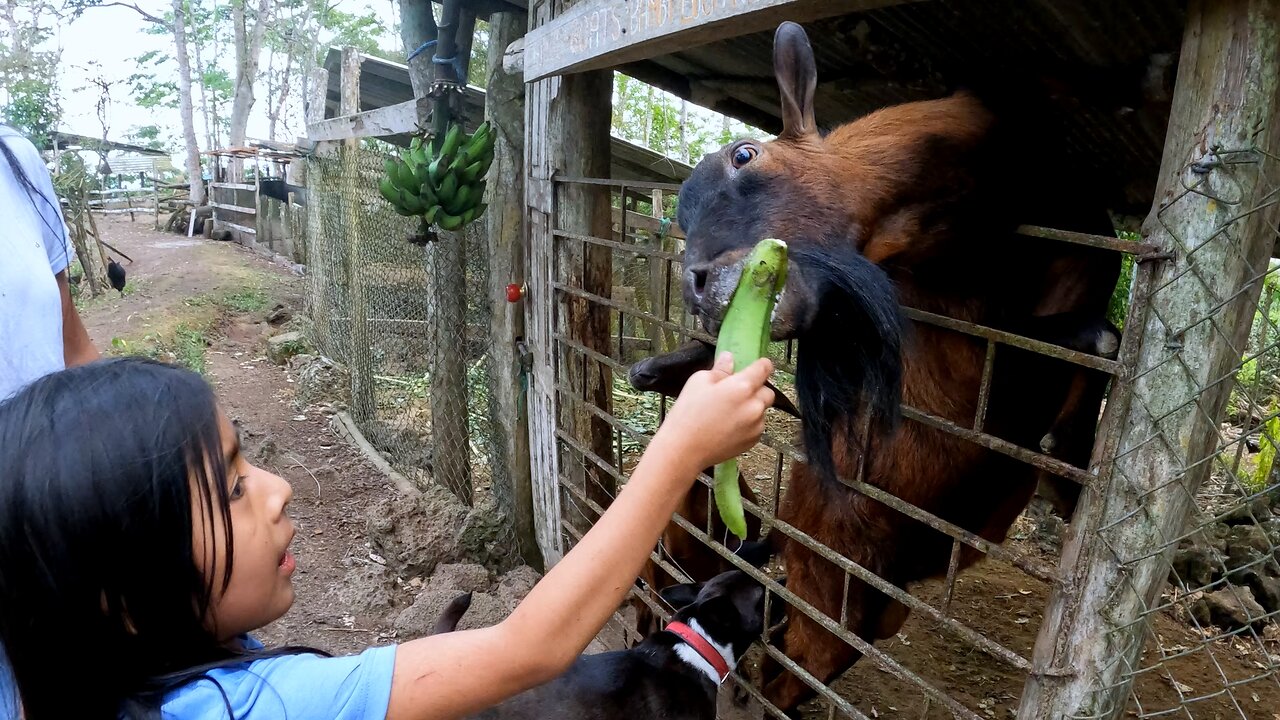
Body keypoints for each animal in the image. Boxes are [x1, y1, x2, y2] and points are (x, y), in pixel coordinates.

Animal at [629, 20, 1121, 712]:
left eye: (745, 155)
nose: (697, 284)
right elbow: (1081, 341)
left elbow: (1094, 346)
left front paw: (1072, 479)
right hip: (829, 585)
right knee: (785, 670)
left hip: (870, 604)